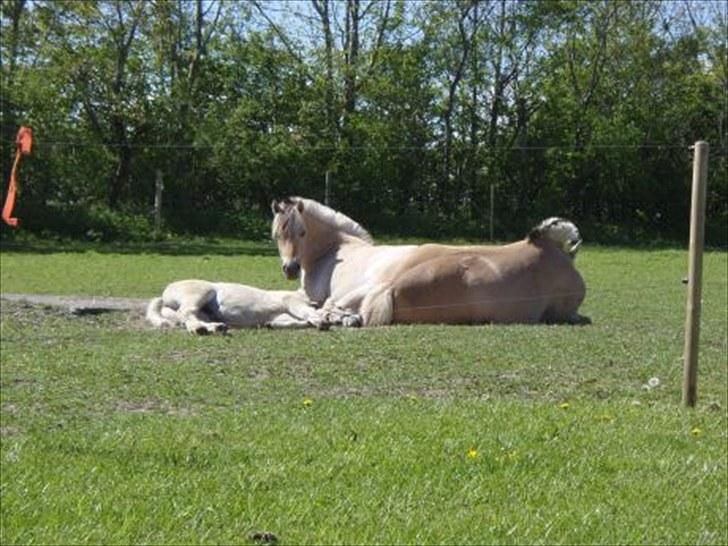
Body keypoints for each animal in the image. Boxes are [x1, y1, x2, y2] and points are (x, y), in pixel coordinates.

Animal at [146, 280, 332, 332]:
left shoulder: (282, 314)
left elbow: (298, 322)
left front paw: (270, 325)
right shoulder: (292, 302)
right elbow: (307, 313)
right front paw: (322, 321)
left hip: (202, 312)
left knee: (189, 317)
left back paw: (216, 327)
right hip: (202, 292)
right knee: (186, 312)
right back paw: (198, 329)